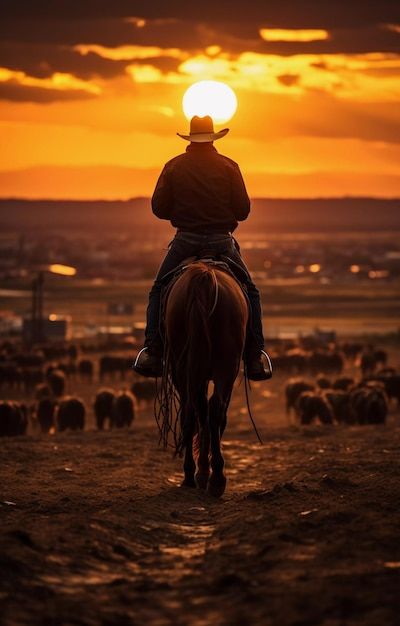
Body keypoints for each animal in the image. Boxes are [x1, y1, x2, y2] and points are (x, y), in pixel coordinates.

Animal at [158, 260, 248, 494]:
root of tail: (203, 278)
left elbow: (201, 413)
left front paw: (202, 470)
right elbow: (212, 415)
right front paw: (206, 470)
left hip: (185, 368)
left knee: (192, 412)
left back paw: (195, 475)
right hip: (225, 366)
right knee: (211, 410)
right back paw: (213, 478)